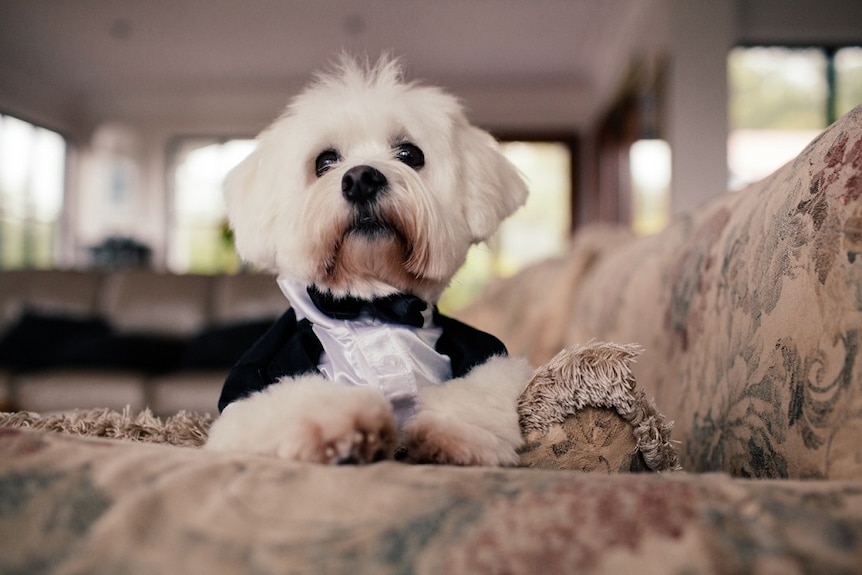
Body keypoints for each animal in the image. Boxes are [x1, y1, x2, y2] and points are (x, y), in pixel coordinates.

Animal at [207, 55, 536, 468]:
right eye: (325, 162)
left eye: (410, 154)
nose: (361, 178)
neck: (372, 305)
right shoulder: (251, 385)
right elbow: (287, 399)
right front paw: (345, 422)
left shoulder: (483, 353)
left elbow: (480, 385)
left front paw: (455, 434)